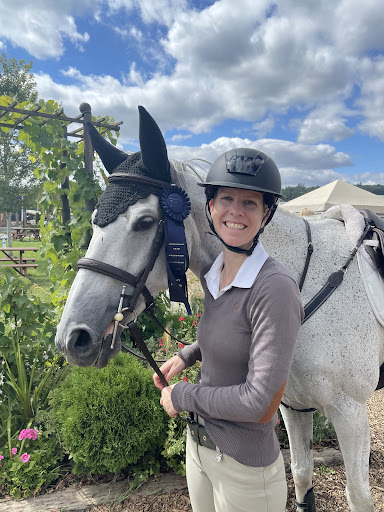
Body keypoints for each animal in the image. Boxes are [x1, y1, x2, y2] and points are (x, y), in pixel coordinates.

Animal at [54, 106, 384, 510]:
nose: (73, 338)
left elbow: (359, 496)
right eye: (93, 222)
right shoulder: (293, 407)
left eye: (145, 222)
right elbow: (303, 475)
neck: (302, 286)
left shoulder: (351, 415)